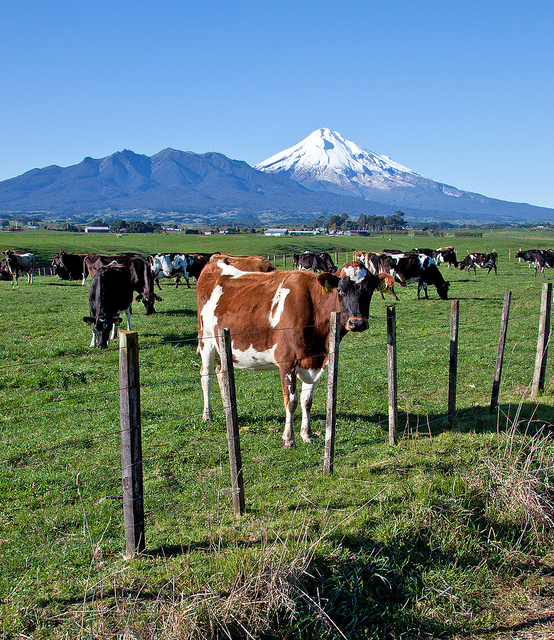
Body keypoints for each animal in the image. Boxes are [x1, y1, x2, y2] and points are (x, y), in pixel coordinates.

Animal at [196, 258, 386, 448]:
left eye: (369, 291)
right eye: (340, 290)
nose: (357, 322)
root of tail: (216, 260)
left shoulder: (314, 361)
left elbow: (307, 400)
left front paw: (307, 434)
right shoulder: (287, 361)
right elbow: (291, 401)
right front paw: (289, 438)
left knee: (221, 371)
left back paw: (227, 408)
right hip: (206, 339)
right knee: (206, 375)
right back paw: (207, 415)